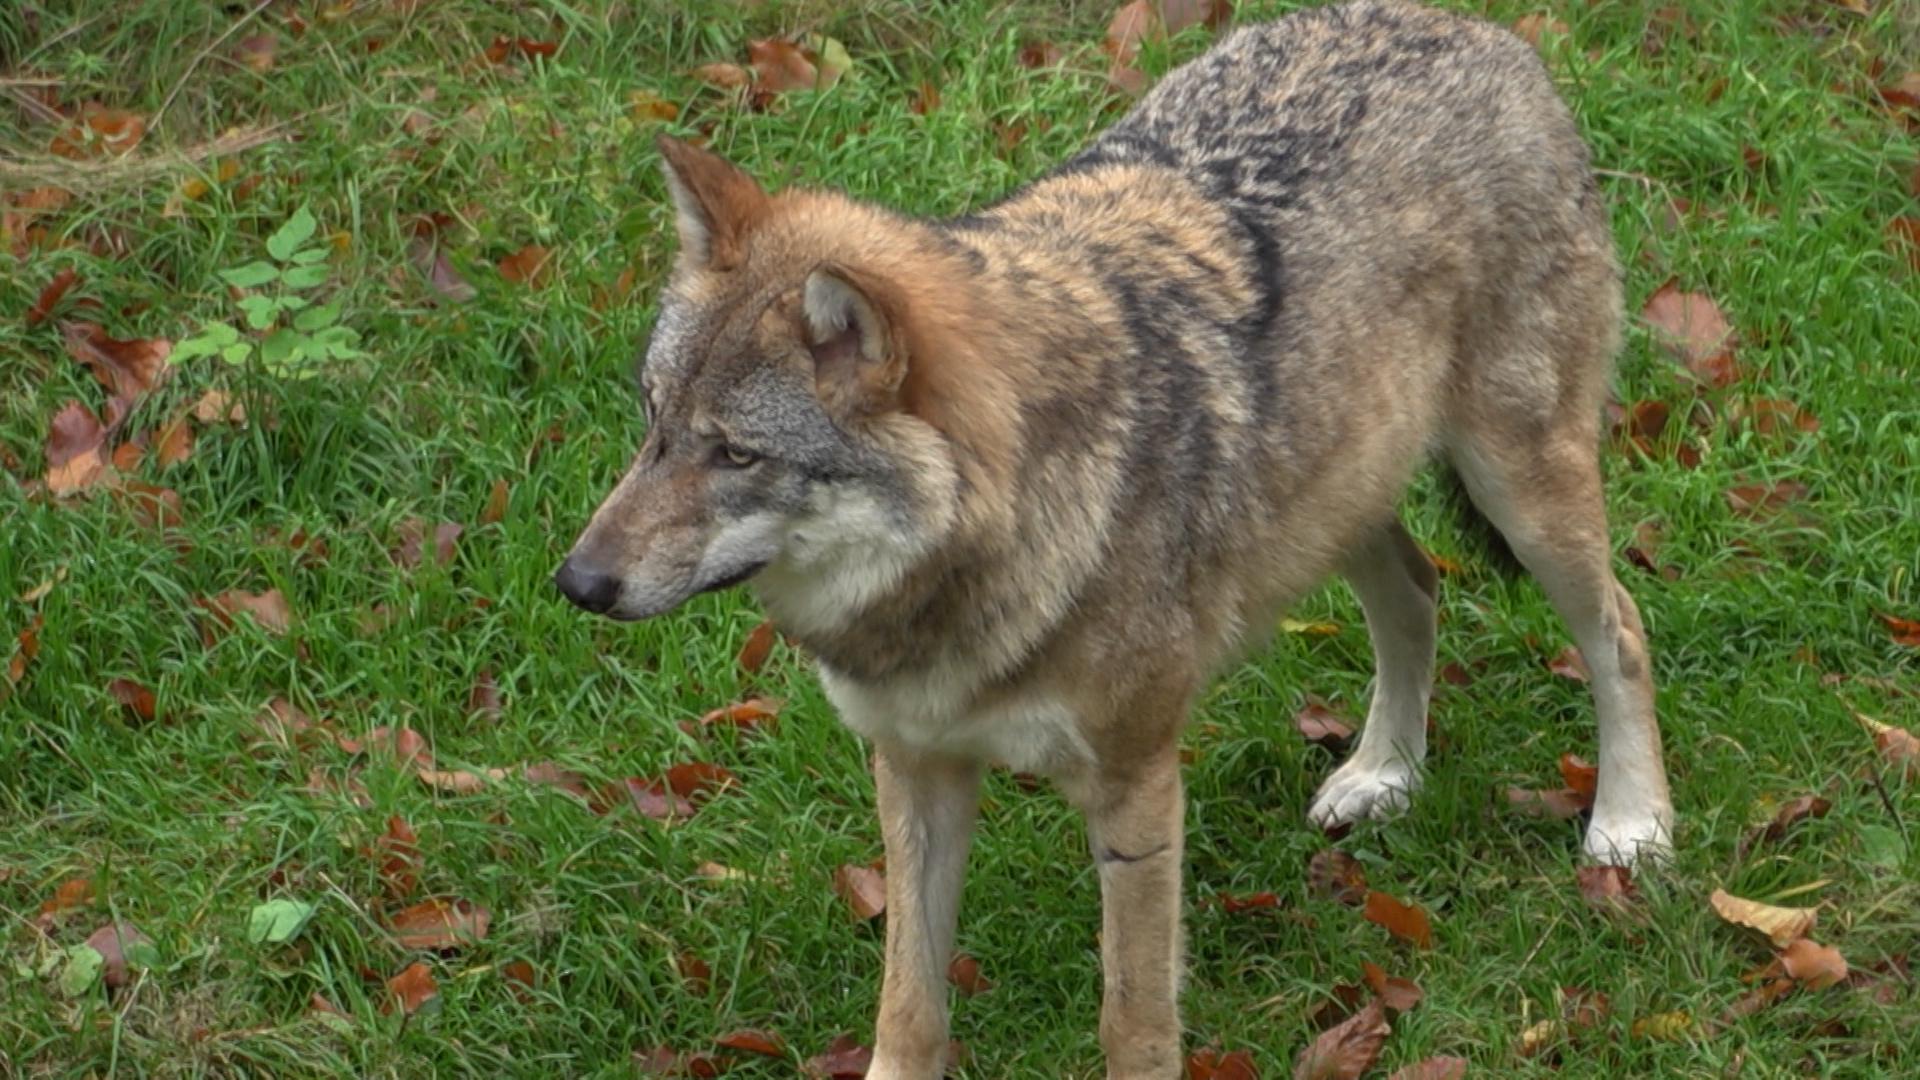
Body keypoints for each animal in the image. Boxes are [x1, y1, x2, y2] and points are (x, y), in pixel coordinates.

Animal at [555, 0, 1674, 1074]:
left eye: (736, 454)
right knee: (1417, 590)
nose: (575, 583)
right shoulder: (914, 770)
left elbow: (1131, 1022)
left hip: (1521, 489)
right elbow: (909, 1009)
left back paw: (1631, 828)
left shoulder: (1138, 788)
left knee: (1619, 627)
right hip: (1334, 496)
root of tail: (1487, 35)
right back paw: (1386, 774)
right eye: (654, 424)